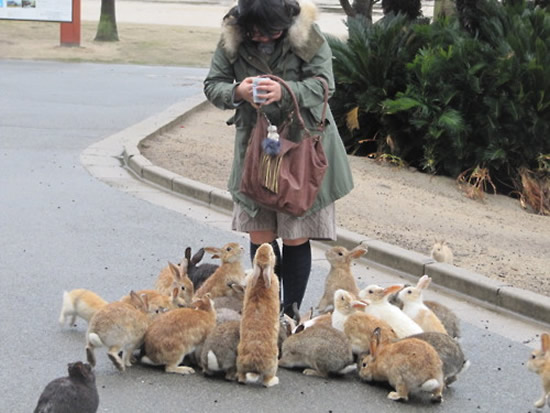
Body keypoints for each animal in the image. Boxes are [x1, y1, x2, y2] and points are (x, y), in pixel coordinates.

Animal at [236, 241, 280, 386]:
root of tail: (254, 363)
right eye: (272, 254)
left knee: (242, 376)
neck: (261, 277)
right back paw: (274, 381)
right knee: (266, 381)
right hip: (272, 365)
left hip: (240, 362)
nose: (266, 244)